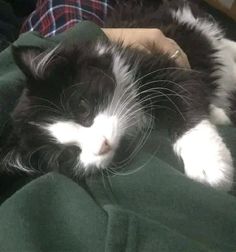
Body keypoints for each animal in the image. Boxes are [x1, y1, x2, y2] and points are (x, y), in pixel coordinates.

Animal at [0, 0, 236, 189]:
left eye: (82, 108)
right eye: (67, 155)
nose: (103, 145)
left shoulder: (157, 62)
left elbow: (184, 97)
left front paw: (208, 162)